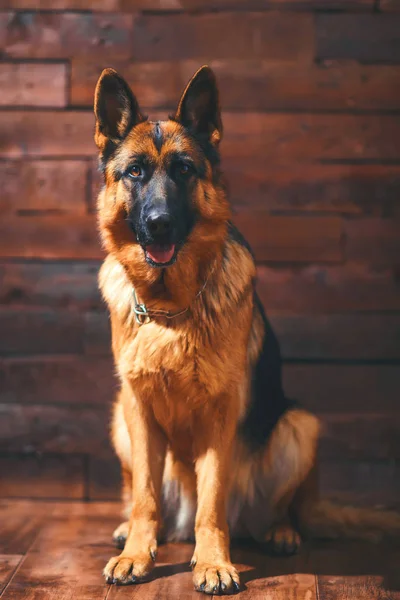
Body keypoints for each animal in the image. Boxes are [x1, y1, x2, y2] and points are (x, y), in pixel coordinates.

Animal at [94, 64, 400, 592]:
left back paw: (279, 532)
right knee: (149, 499)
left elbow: (213, 499)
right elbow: (146, 498)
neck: (172, 309)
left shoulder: (220, 415)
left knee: (269, 510)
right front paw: (137, 554)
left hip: (299, 425)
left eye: (184, 170)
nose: (159, 224)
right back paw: (133, 532)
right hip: (120, 419)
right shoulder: (137, 406)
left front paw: (214, 562)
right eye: (135, 172)